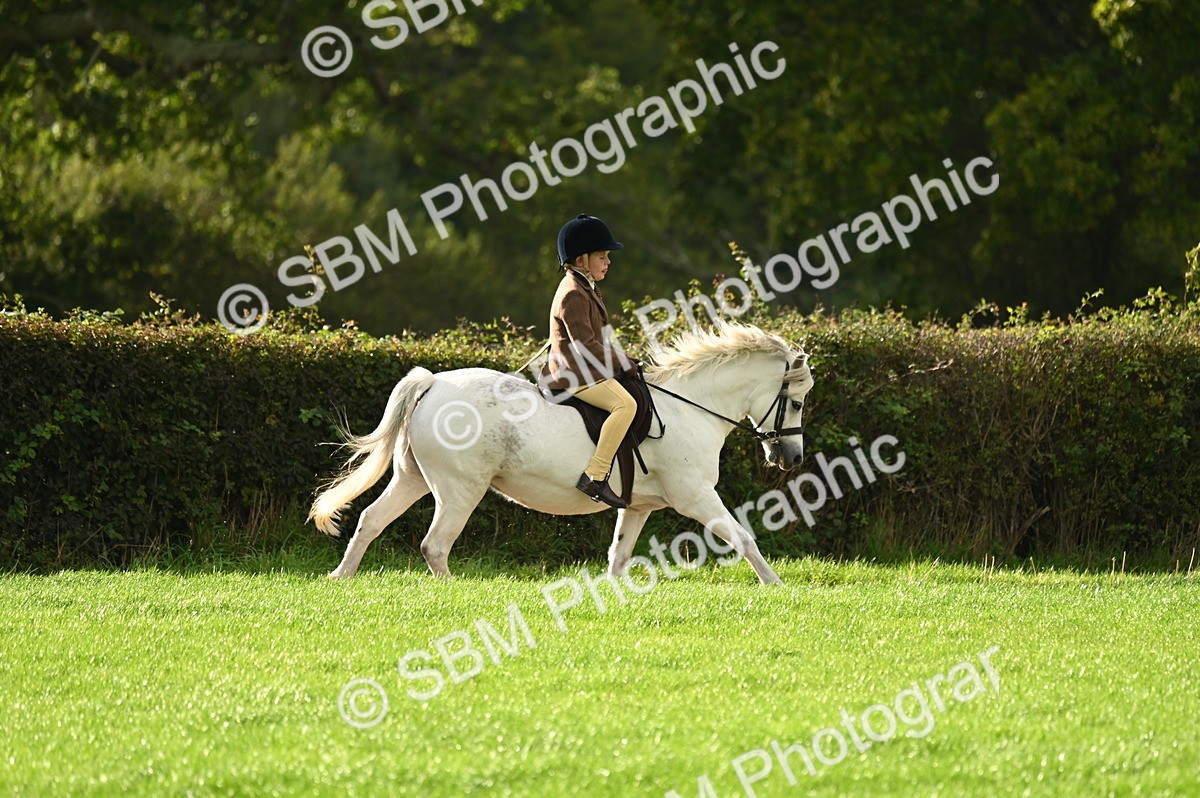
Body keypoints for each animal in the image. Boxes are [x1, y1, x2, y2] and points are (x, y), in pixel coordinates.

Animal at [309, 324, 813, 585]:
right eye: (798, 402)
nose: (791, 459)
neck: (691, 407)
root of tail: (433, 381)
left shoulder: (639, 506)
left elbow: (618, 555)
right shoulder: (696, 496)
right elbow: (743, 536)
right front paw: (775, 586)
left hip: (412, 478)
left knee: (371, 520)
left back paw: (340, 578)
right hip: (459, 489)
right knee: (435, 545)